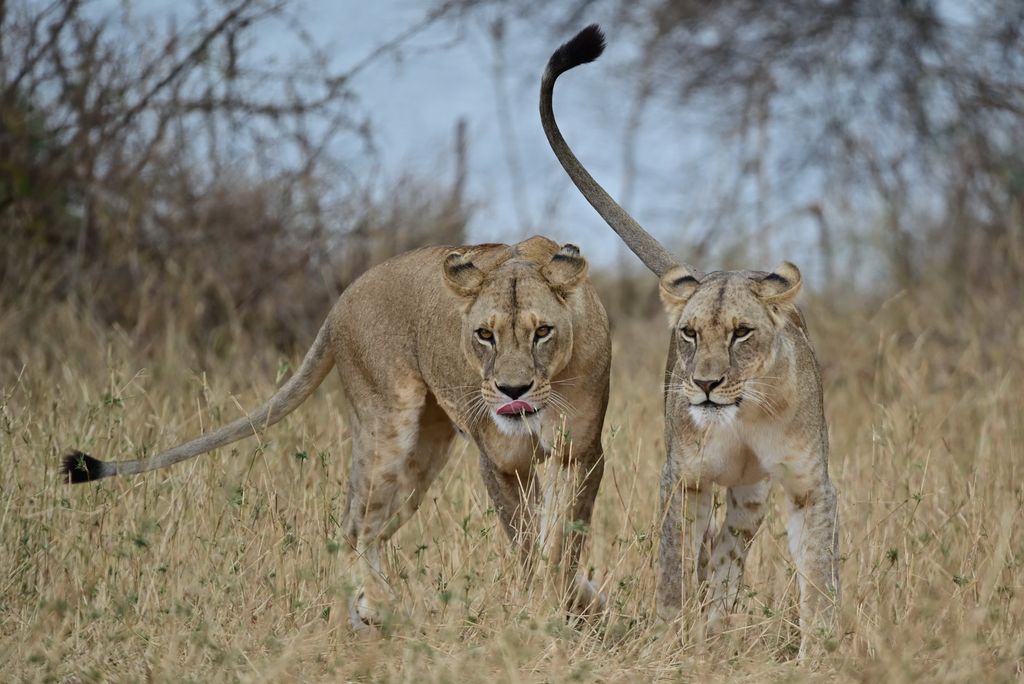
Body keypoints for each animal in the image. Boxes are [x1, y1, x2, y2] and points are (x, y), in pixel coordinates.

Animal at [64, 237, 610, 626]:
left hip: (426, 447)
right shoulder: (500, 459)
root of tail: (344, 295)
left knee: (371, 530)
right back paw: (376, 610)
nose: (513, 390)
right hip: (388, 422)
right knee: (352, 528)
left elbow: (563, 540)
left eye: (543, 331)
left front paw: (571, 607)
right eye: (484, 335)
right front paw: (547, 613)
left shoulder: (580, 452)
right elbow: (528, 543)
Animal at [540, 25, 835, 655]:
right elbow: (673, 566)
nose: (704, 384)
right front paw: (669, 639)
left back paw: (718, 629)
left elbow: (820, 572)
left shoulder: (807, 484)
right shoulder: (681, 479)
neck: (747, 410)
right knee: (704, 554)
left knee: (727, 552)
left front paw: (822, 647)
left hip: (751, 495)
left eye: (743, 333)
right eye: (690, 334)